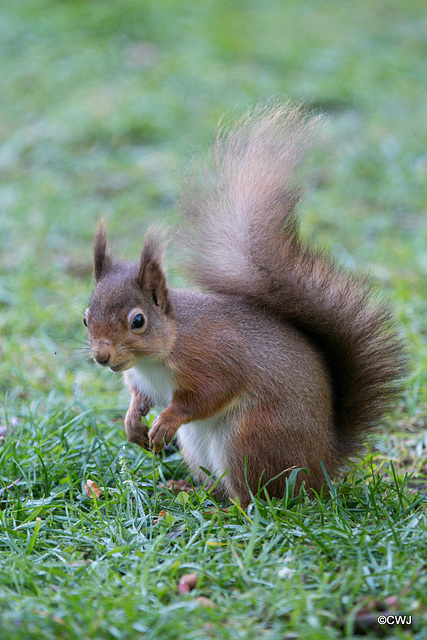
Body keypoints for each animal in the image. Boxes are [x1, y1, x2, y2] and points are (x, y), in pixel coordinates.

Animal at [83, 105, 404, 504]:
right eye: (85, 319)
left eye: (138, 321)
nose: (101, 356)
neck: (157, 355)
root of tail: (323, 468)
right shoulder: (143, 380)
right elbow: (138, 397)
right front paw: (132, 422)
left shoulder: (214, 357)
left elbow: (209, 394)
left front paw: (164, 422)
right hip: (200, 449)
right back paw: (187, 489)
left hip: (251, 439)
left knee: (258, 498)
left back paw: (226, 508)